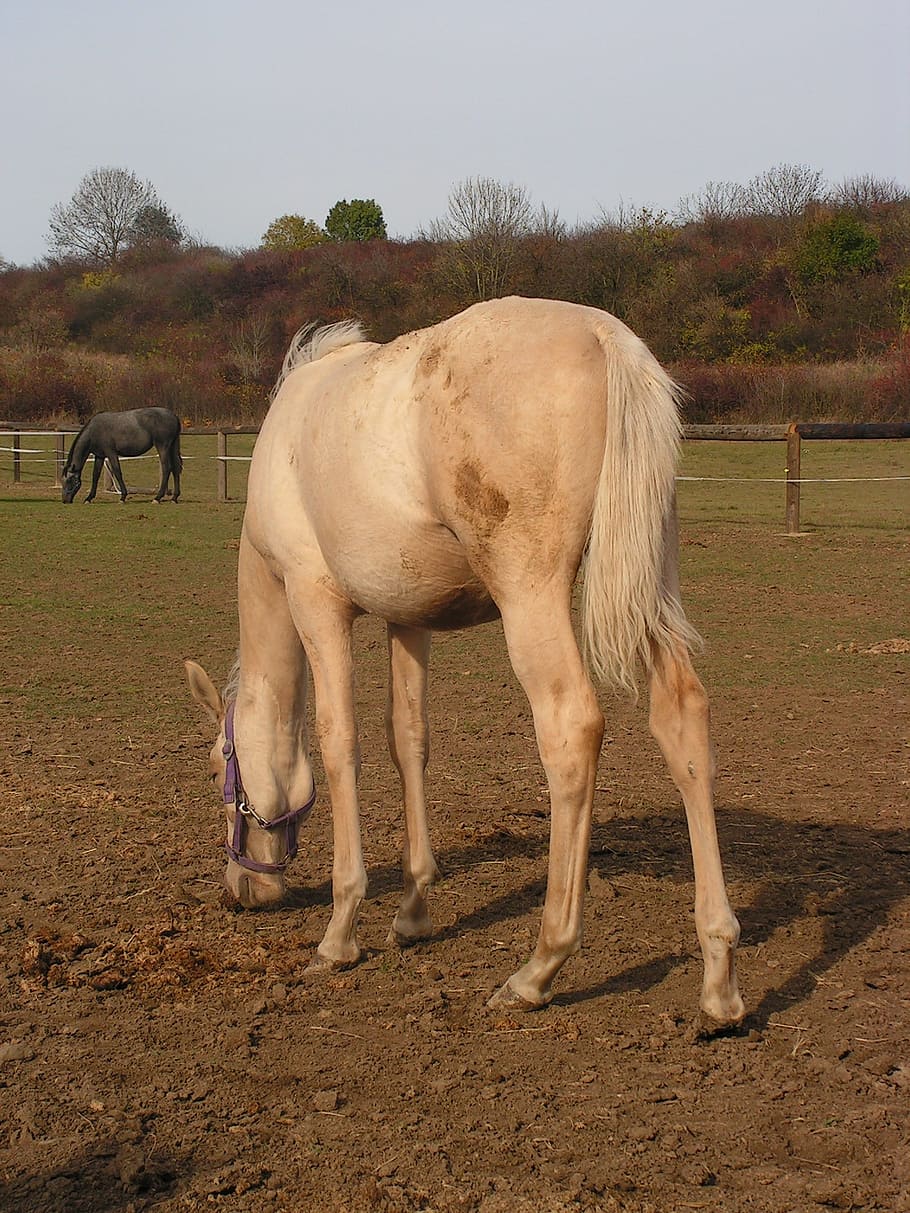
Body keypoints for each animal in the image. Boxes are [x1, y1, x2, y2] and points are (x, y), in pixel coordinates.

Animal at [186, 297, 745, 1023]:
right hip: (646, 579)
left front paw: (340, 932)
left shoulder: (317, 603)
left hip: (532, 593)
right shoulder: (407, 617)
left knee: (571, 729)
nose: (240, 892)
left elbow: (340, 744)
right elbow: (407, 740)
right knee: (682, 716)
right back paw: (719, 976)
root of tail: (606, 338)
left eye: (219, 771)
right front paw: (414, 909)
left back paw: (540, 966)